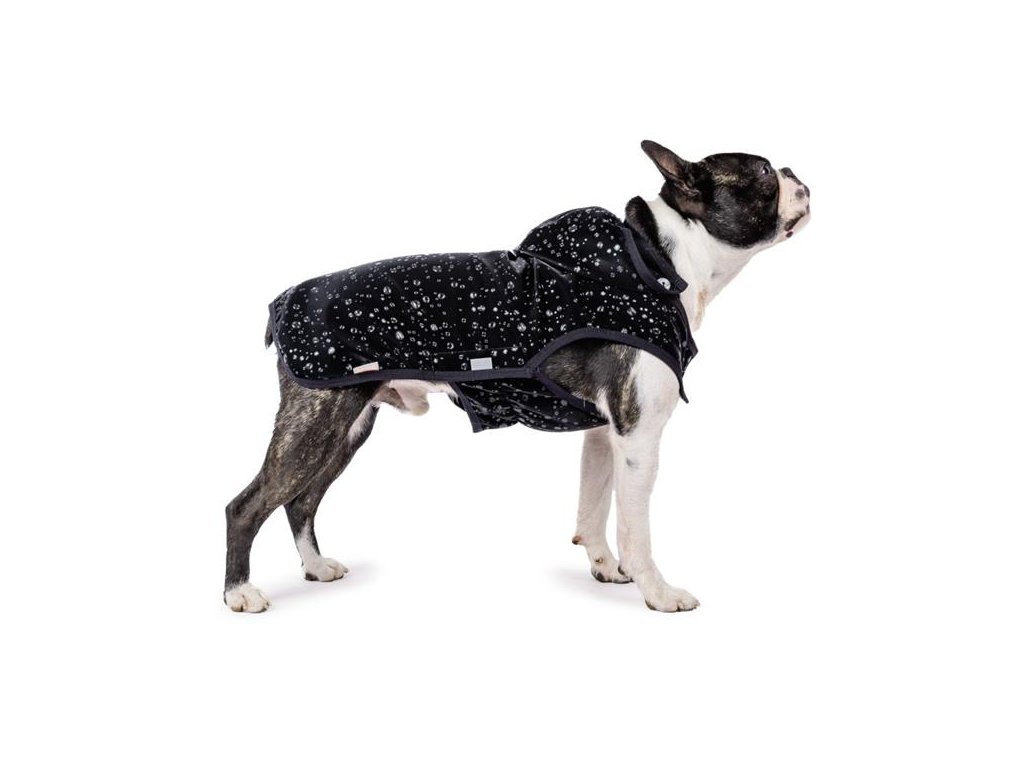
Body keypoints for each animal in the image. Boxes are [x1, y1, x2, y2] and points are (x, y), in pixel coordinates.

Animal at [224, 140, 810, 613]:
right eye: (762, 172)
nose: (791, 170)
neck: (662, 262)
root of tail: (284, 300)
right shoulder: (639, 436)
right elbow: (634, 527)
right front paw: (658, 592)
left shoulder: (605, 434)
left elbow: (593, 505)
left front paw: (604, 567)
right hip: (315, 425)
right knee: (248, 505)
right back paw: (240, 592)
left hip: (347, 429)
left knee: (301, 501)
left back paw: (315, 567)